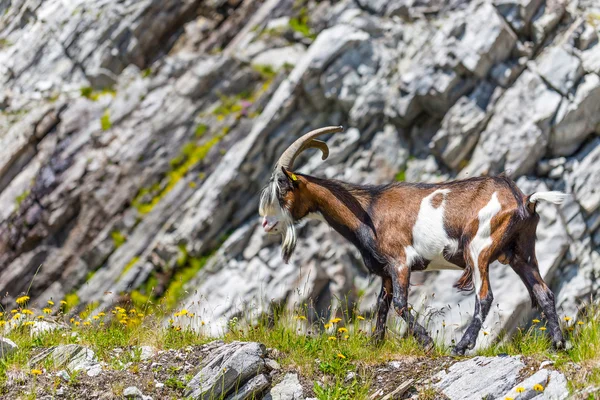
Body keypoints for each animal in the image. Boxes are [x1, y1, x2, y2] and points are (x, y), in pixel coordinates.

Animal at [258, 126, 568, 354]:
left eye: (282, 189)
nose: (266, 223)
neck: (369, 210)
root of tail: (523, 200)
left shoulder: (400, 262)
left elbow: (399, 303)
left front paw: (426, 341)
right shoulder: (385, 271)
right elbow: (382, 304)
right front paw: (375, 343)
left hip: (479, 247)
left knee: (485, 296)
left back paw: (461, 347)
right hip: (521, 252)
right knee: (544, 292)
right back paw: (558, 344)